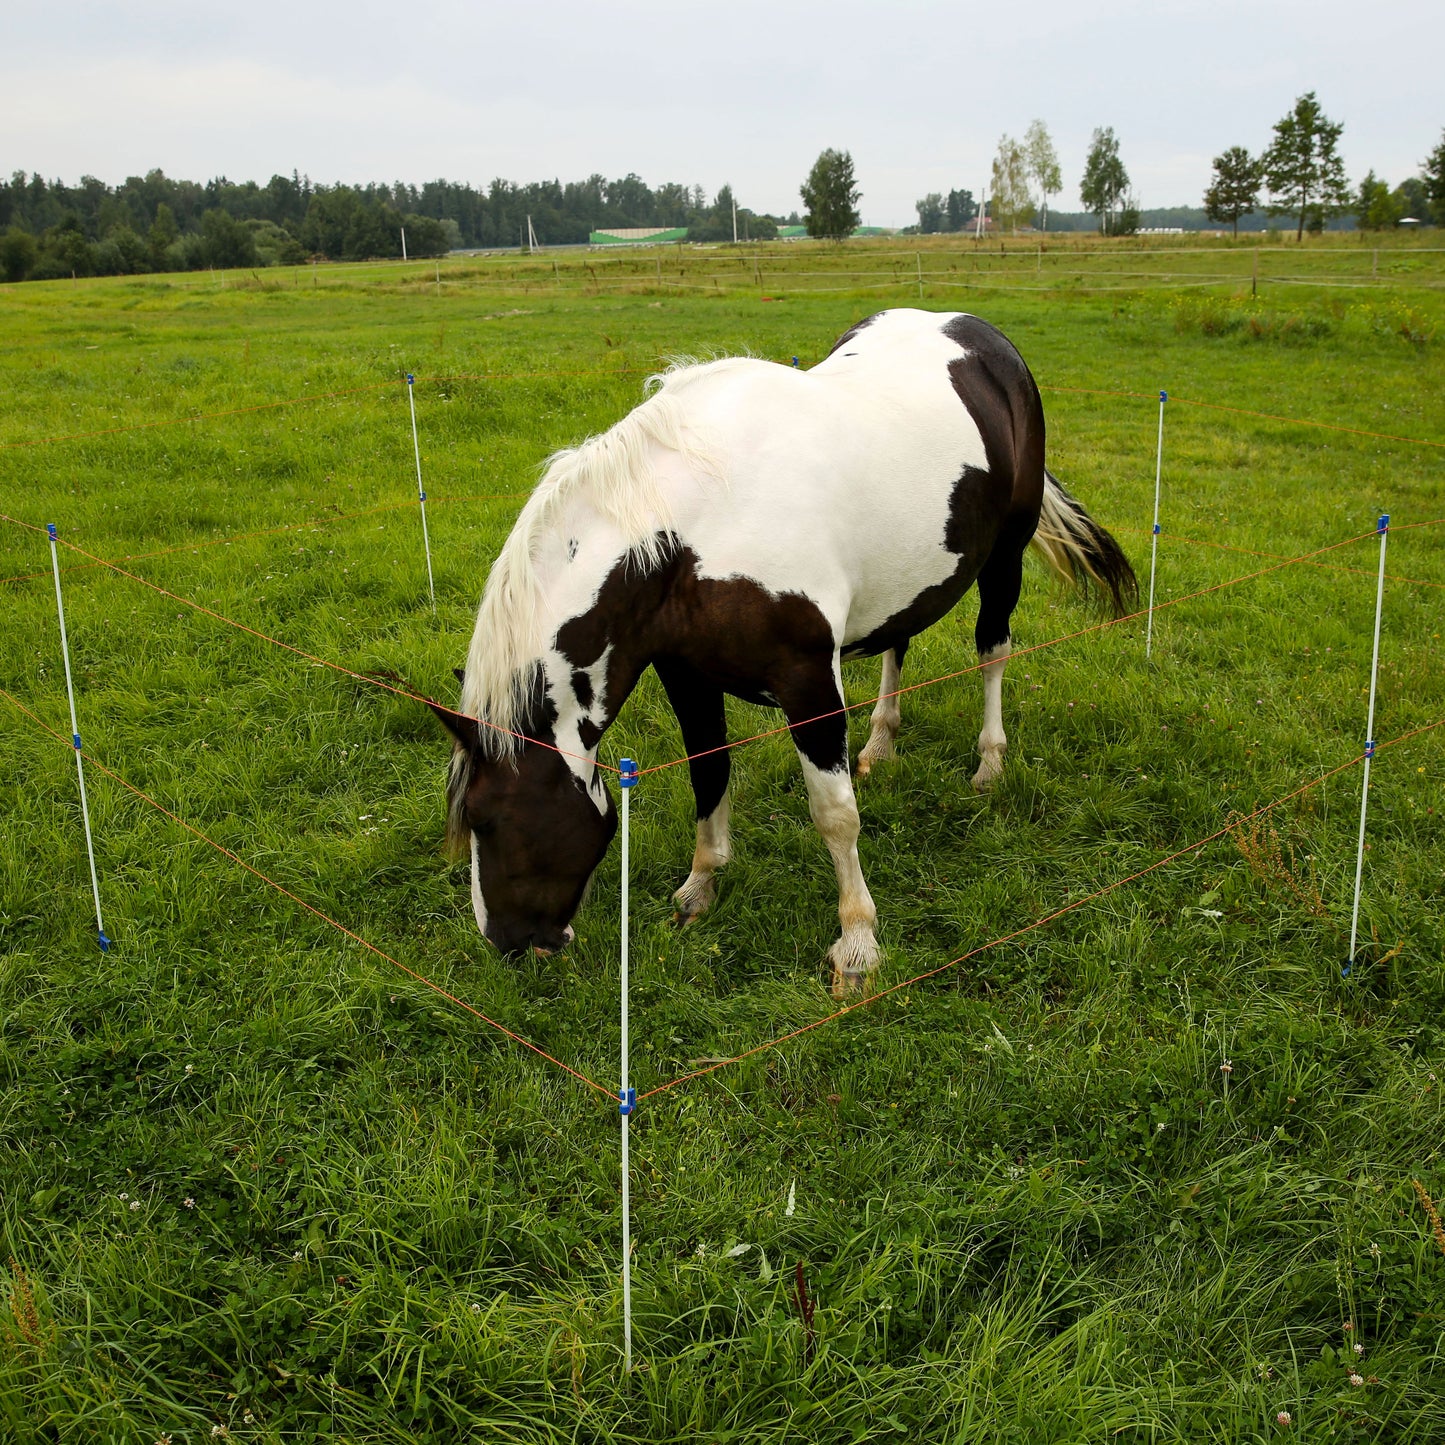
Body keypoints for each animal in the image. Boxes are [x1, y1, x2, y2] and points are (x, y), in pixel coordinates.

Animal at [430, 307, 1138, 994]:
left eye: (489, 818)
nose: (509, 944)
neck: (694, 533)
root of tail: (984, 336)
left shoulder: (808, 684)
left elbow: (835, 814)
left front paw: (857, 944)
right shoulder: (687, 676)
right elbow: (709, 774)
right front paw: (700, 888)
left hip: (1006, 555)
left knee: (992, 649)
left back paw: (990, 763)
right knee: (898, 641)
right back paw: (881, 743)